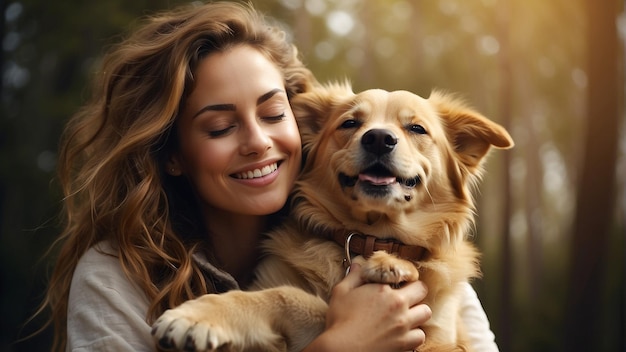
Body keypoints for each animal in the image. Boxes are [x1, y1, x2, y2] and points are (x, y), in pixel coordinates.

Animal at [150, 83, 512, 352]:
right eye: (350, 123)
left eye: (416, 128)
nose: (378, 138)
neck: (372, 236)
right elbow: (287, 296)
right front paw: (200, 315)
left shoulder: (437, 334)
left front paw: (393, 267)